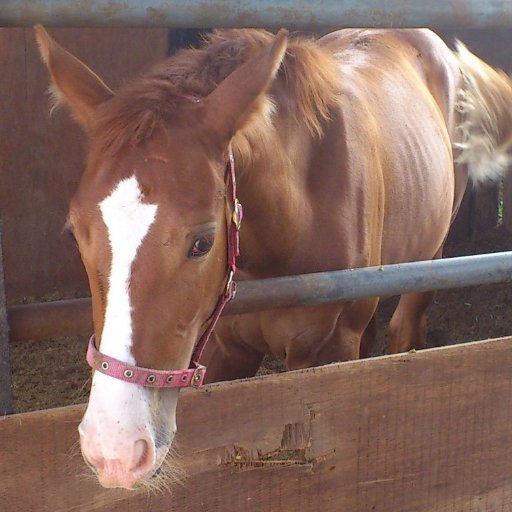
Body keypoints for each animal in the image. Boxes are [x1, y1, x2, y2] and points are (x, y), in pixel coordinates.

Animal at [34, 26, 510, 490]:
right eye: (74, 233)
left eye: (202, 242)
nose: (113, 451)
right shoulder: (224, 353)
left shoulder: (328, 353)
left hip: (432, 252)